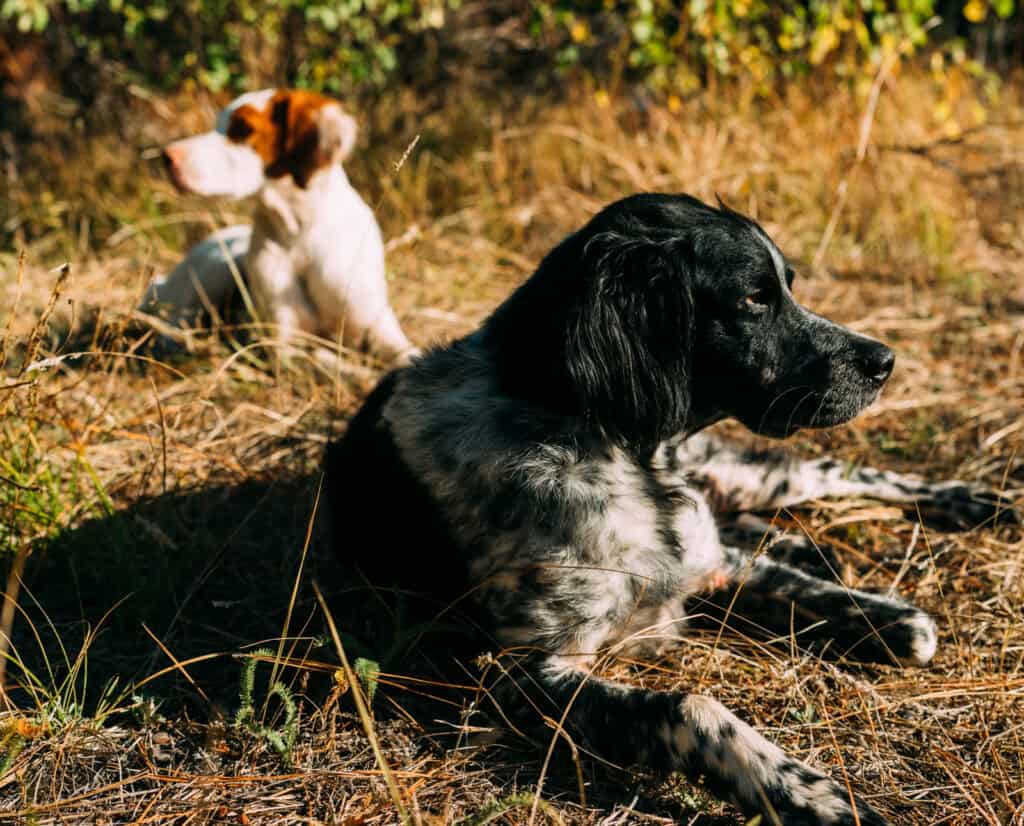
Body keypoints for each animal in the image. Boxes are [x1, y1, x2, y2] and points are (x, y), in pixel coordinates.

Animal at [139, 86, 415, 364]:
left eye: (243, 129)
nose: (167, 156)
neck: (300, 234)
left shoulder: (376, 324)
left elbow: (407, 354)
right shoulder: (281, 345)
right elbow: (320, 358)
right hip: (214, 269)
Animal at [325, 195, 1007, 826]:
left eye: (786, 286)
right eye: (754, 298)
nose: (884, 360)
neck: (620, 452)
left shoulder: (712, 565)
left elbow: (834, 602)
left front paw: (893, 619)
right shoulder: (518, 671)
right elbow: (690, 706)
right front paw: (807, 791)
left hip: (744, 474)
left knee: (831, 475)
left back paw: (977, 501)